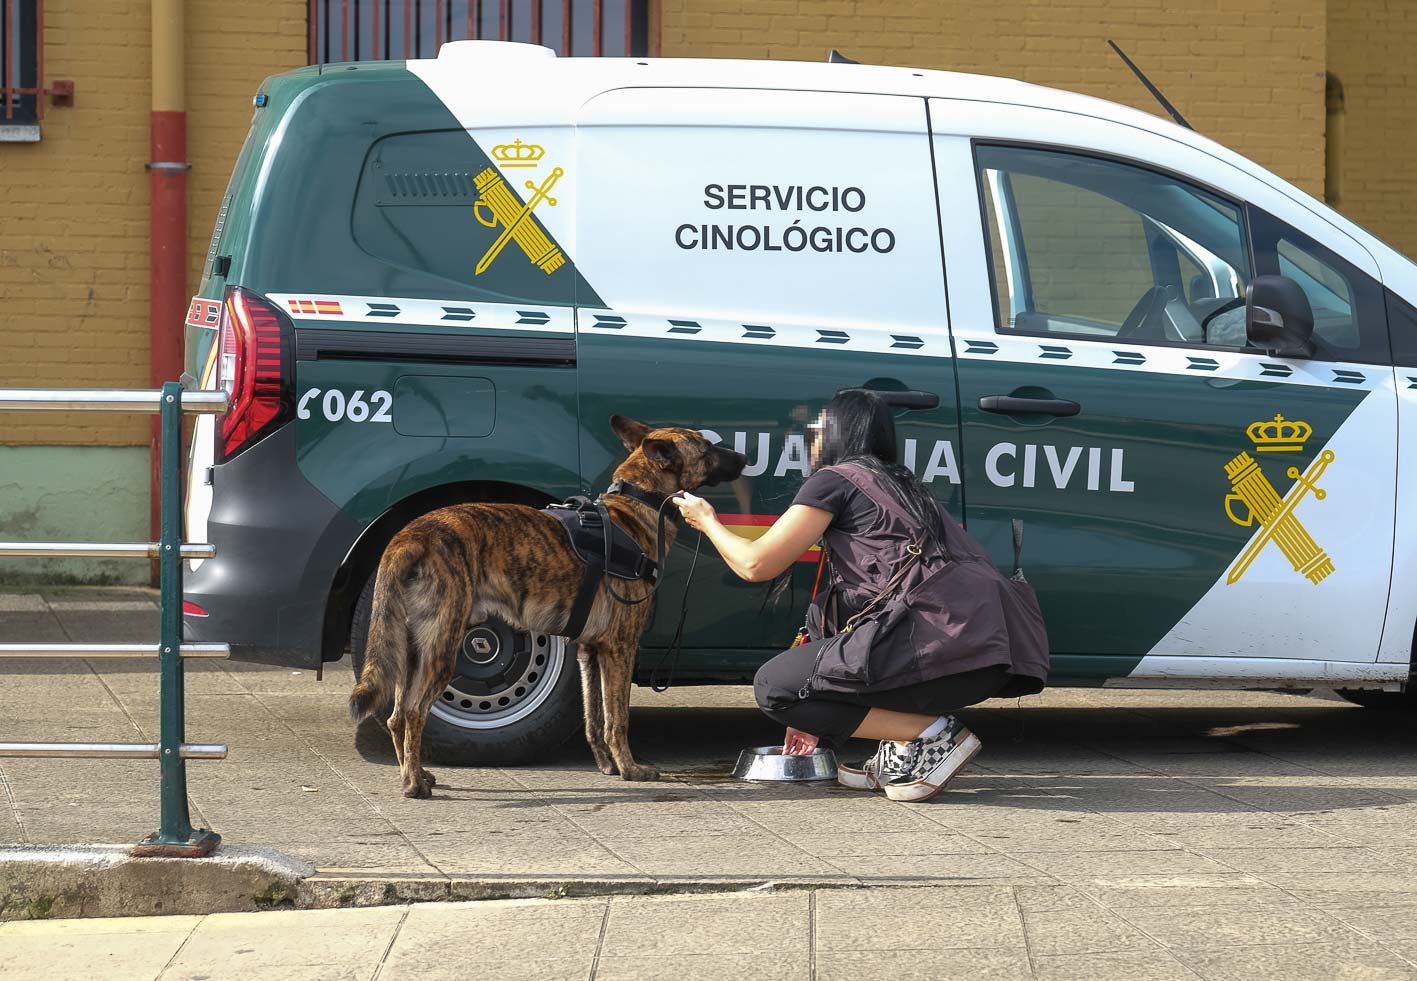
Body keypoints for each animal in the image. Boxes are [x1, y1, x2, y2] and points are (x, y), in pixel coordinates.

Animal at [348, 413, 748, 799]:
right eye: (707, 448)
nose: (744, 458)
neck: (637, 503)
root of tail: (411, 536)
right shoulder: (620, 648)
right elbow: (617, 717)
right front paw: (630, 769)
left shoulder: (589, 651)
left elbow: (594, 718)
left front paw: (607, 765)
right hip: (443, 650)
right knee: (413, 712)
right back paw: (413, 784)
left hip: (411, 652)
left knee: (396, 716)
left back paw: (416, 773)